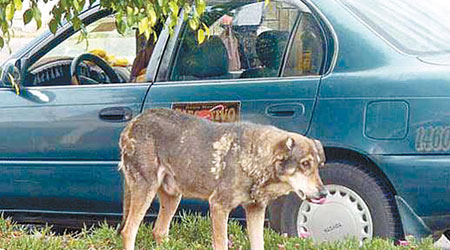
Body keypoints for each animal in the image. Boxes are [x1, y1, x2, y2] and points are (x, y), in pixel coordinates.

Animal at [118, 109, 326, 250]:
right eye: (304, 164)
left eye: (318, 166)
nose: (324, 193)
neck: (255, 158)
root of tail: (133, 123)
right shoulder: (218, 207)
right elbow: (221, 243)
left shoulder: (255, 210)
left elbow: (258, 244)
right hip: (146, 192)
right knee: (128, 232)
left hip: (172, 198)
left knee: (158, 231)